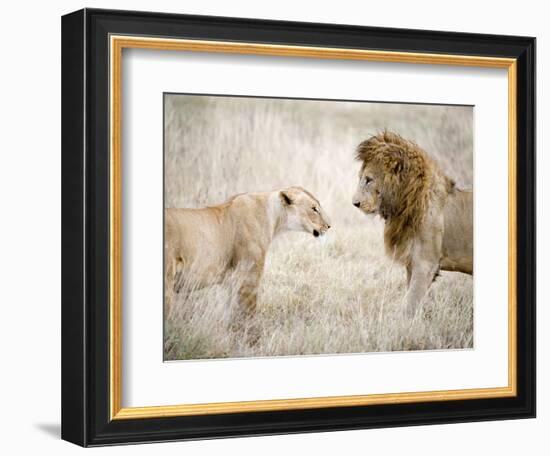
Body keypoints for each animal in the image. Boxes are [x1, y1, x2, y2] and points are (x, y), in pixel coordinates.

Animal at [164, 185, 332, 318]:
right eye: (314, 209)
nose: (329, 226)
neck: (274, 218)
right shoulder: (249, 277)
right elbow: (248, 316)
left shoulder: (231, 282)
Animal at [354, 131, 474, 318]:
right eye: (361, 178)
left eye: (368, 180)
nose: (355, 203)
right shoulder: (412, 262)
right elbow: (410, 297)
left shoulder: (425, 264)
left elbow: (410, 304)